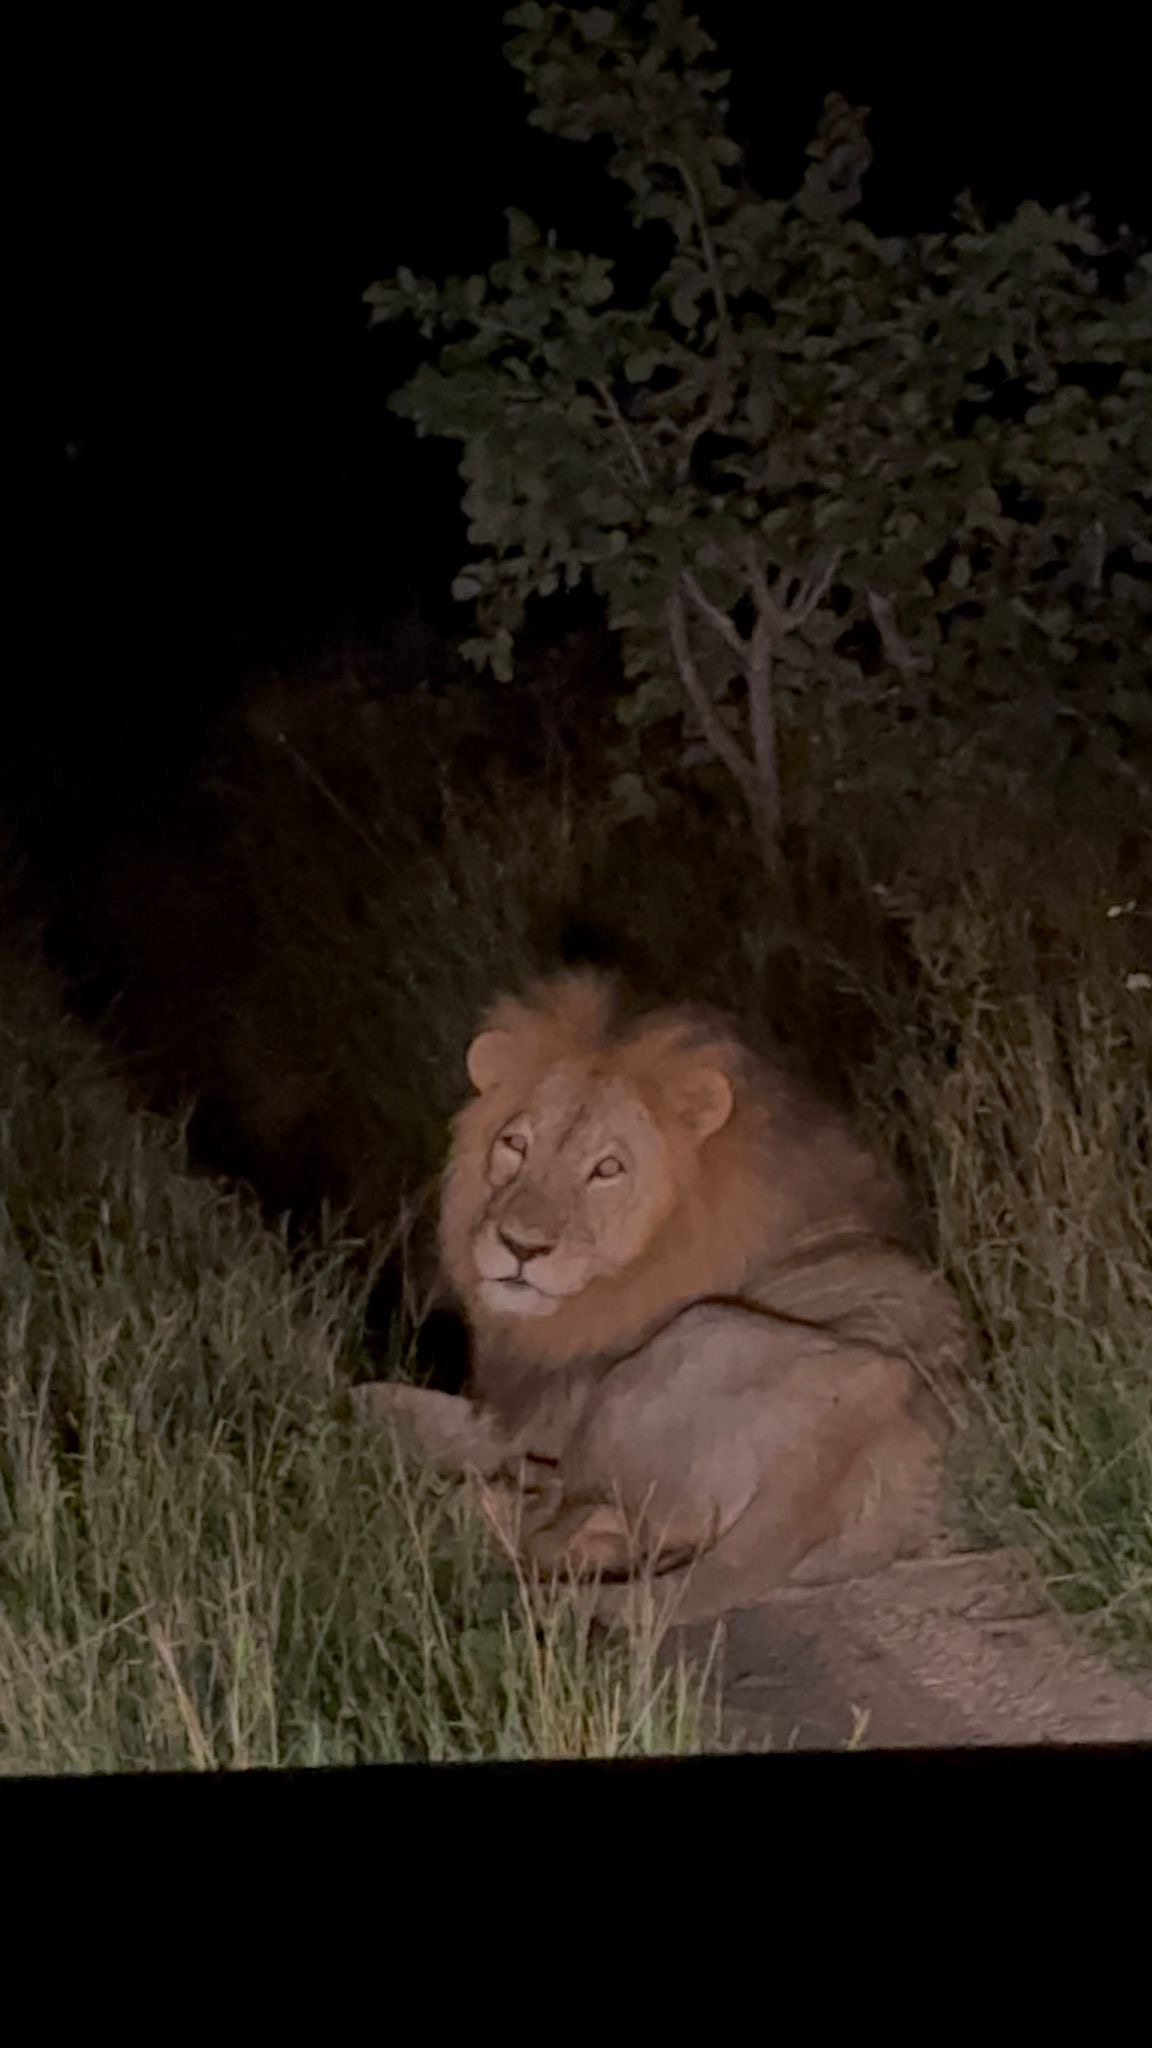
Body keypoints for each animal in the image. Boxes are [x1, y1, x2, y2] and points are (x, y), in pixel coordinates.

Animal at [354, 971, 970, 1626]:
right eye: (515, 1144)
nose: (520, 1247)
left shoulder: (533, 1414)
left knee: (562, 1522)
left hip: (672, 1356)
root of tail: (832, 1455)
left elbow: (383, 1402)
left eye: (607, 1169)